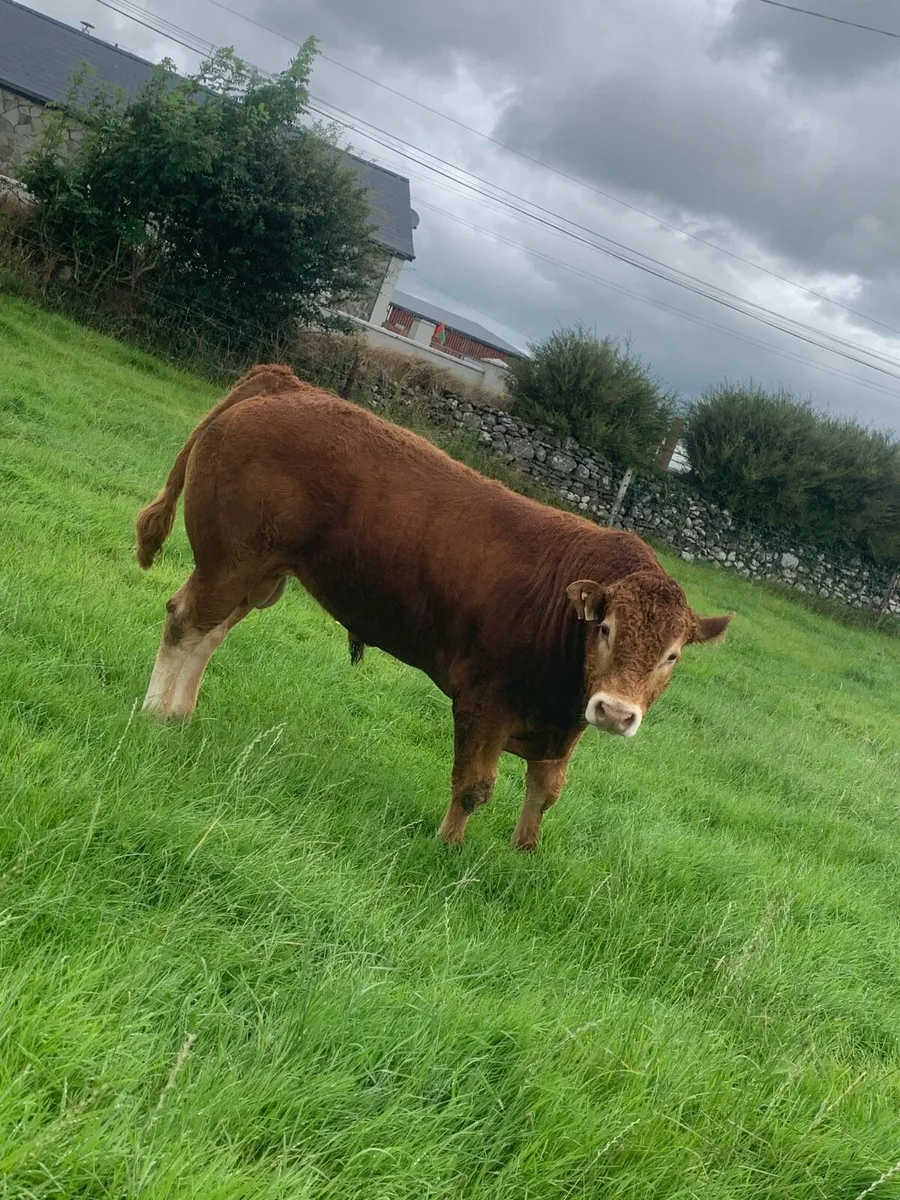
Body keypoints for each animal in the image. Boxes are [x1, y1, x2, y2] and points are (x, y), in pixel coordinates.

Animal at [136, 364, 732, 850]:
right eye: (605, 628)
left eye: (673, 656)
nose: (615, 712)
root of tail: (290, 385)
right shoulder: (483, 702)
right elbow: (474, 787)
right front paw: (448, 848)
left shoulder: (563, 728)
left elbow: (545, 793)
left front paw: (523, 854)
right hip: (229, 562)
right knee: (184, 622)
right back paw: (155, 712)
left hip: (257, 574)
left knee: (209, 635)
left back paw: (180, 714)